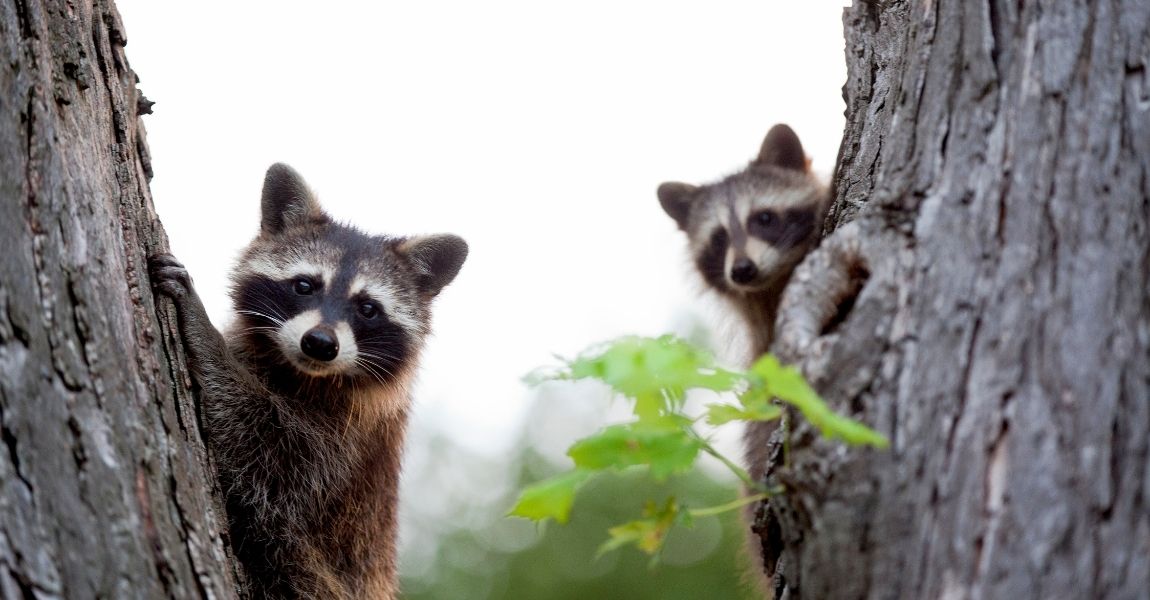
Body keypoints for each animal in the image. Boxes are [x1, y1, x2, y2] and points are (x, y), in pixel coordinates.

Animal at [150, 163, 464, 597]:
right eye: (304, 285)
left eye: (368, 309)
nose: (320, 343)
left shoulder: (345, 445)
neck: (301, 371)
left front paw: (204, 333)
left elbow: (264, 446)